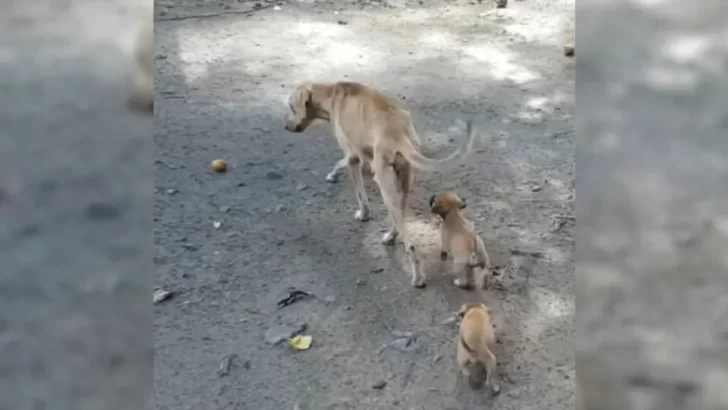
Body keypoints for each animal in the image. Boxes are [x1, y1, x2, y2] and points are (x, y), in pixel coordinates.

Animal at [282, 81, 478, 288]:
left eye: (291, 106)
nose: (286, 126)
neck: (332, 93)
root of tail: (400, 133)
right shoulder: (358, 155)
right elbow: (339, 163)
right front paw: (333, 174)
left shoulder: (353, 158)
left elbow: (360, 194)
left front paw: (363, 214)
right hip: (402, 187)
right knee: (398, 221)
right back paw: (391, 237)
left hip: (386, 187)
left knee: (410, 245)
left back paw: (417, 277)